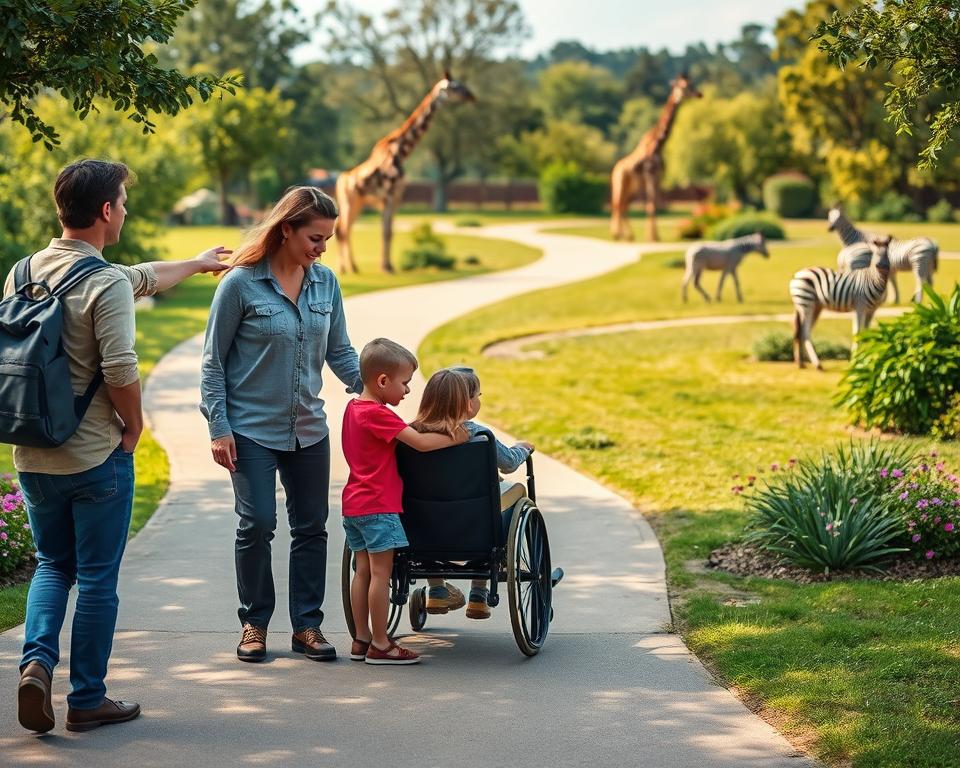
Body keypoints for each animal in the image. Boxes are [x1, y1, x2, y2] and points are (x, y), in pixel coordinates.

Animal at [334, 72, 475, 274]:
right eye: (455, 87)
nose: (471, 96)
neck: (401, 152)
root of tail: (340, 180)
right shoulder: (389, 194)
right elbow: (385, 231)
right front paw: (385, 267)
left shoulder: (397, 196)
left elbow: (390, 231)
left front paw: (389, 265)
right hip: (349, 201)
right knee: (342, 230)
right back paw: (346, 268)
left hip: (359, 202)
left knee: (345, 230)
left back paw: (352, 267)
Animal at [610, 73, 702, 242]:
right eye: (685, 86)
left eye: (691, 84)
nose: (699, 94)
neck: (658, 145)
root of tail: (616, 169)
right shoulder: (651, 176)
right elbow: (651, 206)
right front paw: (653, 237)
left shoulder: (658, 177)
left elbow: (653, 205)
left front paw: (654, 236)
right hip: (621, 183)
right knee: (618, 204)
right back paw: (618, 234)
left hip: (632, 185)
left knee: (623, 205)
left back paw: (628, 235)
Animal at [790, 236, 891, 369]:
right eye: (875, 254)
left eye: (887, 254)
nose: (882, 267)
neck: (876, 281)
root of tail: (798, 274)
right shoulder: (860, 306)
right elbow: (858, 332)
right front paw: (856, 361)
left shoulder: (872, 310)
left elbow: (866, 333)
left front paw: (865, 359)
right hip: (806, 303)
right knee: (804, 332)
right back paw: (816, 364)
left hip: (815, 306)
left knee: (802, 332)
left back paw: (801, 363)